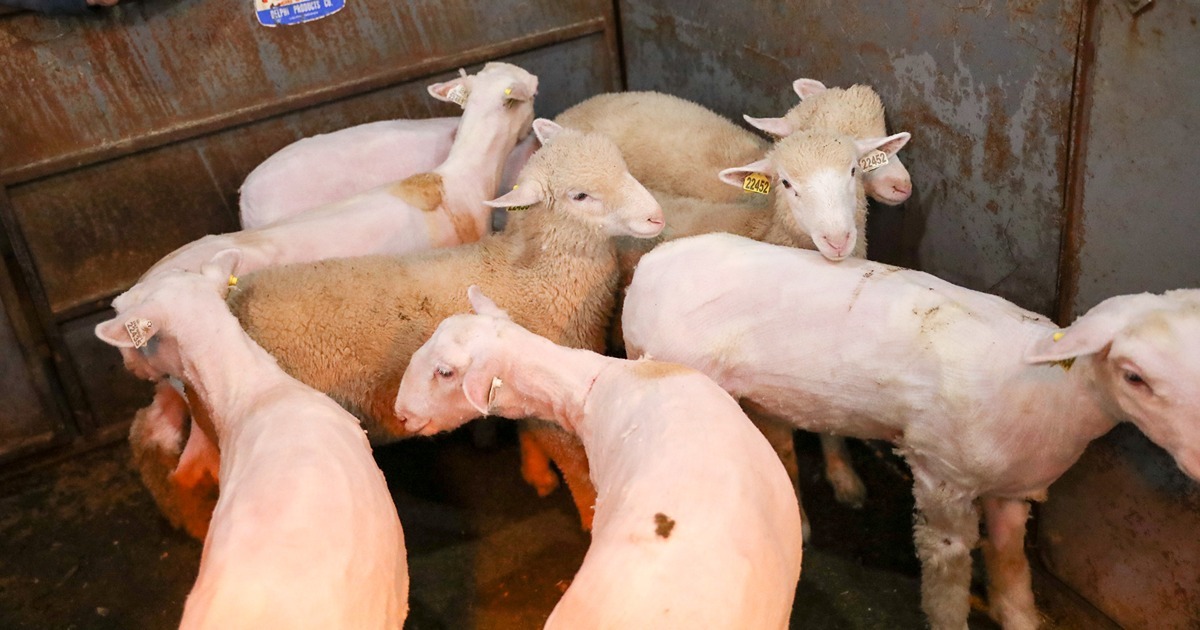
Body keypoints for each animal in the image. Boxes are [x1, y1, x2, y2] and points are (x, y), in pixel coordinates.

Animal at [225, 120, 664, 531]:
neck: (532, 272)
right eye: (580, 195)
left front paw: (535, 473)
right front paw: (589, 515)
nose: (656, 216)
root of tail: (232, 296)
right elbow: (573, 462)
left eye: (623, 165)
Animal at [621, 232, 1200, 630]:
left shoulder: (1013, 489)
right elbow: (947, 574)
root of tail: (651, 265)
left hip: (760, 393)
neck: (1046, 388)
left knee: (775, 443)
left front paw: (1019, 617)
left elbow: (1012, 569)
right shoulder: (942, 478)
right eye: (1134, 376)